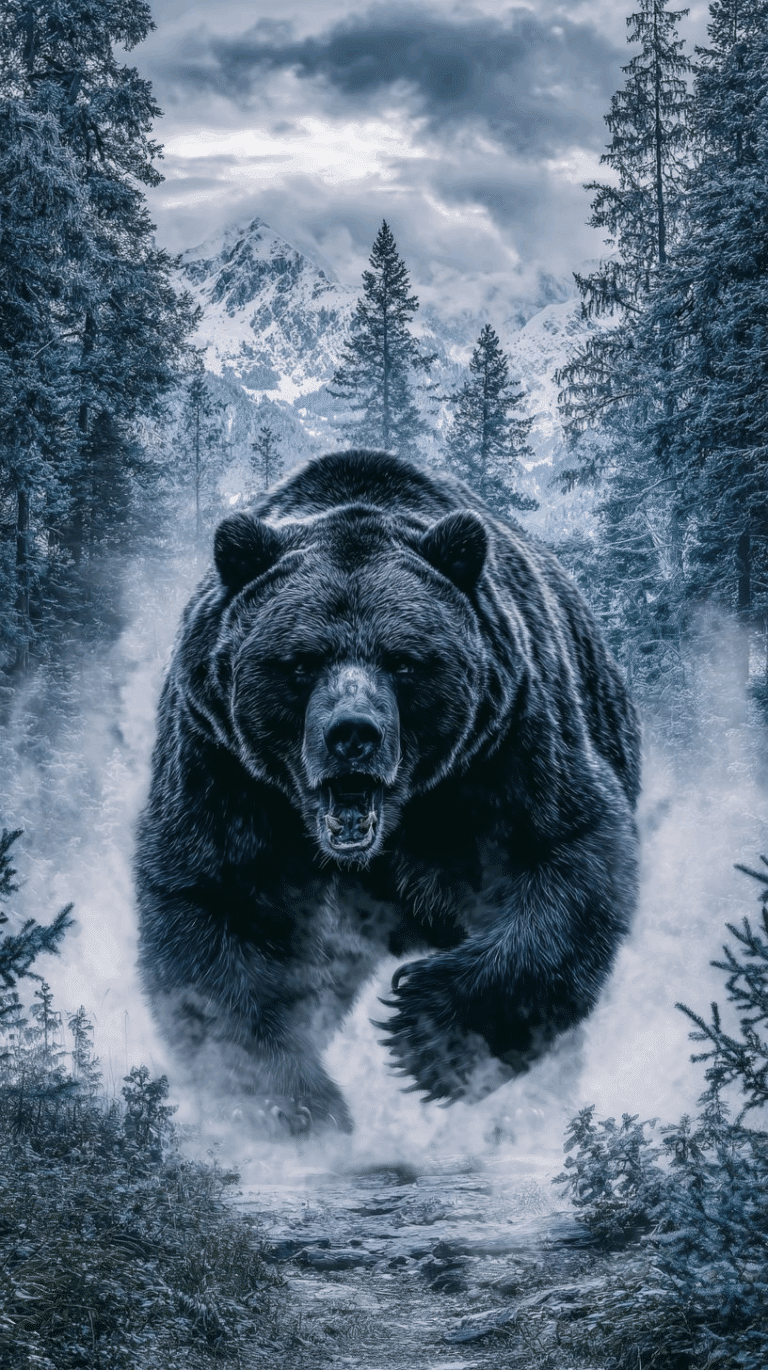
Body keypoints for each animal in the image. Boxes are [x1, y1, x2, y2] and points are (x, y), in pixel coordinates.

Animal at [135, 449, 640, 1135]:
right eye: (301, 661)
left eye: (403, 660)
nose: (353, 734)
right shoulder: (221, 765)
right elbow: (211, 908)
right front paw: (294, 1105)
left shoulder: (507, 743)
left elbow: (567, 854)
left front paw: (425, 1035)